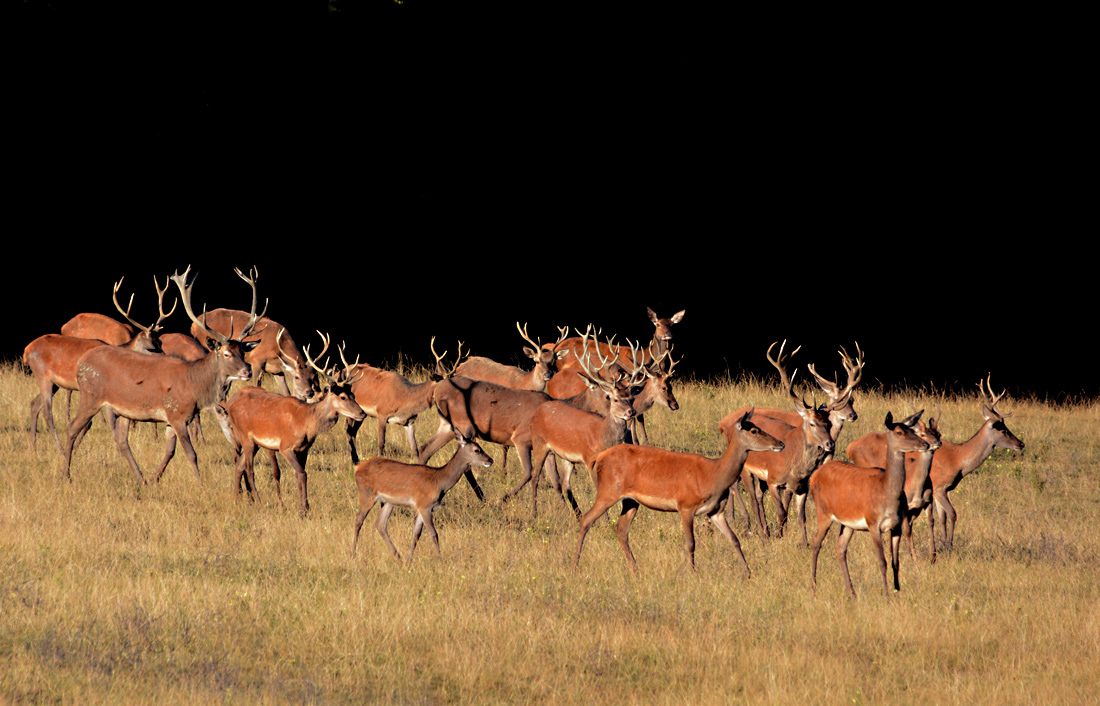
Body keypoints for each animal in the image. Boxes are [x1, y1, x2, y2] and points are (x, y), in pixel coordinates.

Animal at [63, 265, 259, 483]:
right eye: (226, 353)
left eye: (243, 351)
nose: (247, 370)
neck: (194, 386)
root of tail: (81, 362)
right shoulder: (176, 413)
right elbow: (191, 453)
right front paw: (201, 483)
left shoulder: (171, 420)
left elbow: (170, 451)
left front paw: (155, 478)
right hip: (90, 396)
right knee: (72, 428)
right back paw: (66, 475)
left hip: (122, 409)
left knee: (122, 441)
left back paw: (140, 478)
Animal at [213, 332, 365, 514]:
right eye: (342, 397)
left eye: (353, 395)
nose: (362, 413)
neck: (306, 422)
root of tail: (231, 402)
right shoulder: (285, 446)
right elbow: (301, 473)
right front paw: (304, 510)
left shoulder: (304, 448)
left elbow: (299, 474)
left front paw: (304, 507)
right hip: (244, 435)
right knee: (249, 469)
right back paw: (258, 502)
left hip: (255, 442)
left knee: (239, 465)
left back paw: (236, 500)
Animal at [352, 428, 495, 560]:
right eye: (477, 450)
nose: (491, 460)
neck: (440, 482)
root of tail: (357, 469)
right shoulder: (424, 505)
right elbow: (434, 533)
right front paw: (439, 559)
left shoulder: (424, 508)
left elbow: (416, 534)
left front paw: (409, 558)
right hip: (367, 495)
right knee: (359, 520)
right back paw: (353, 553)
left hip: (388, 502)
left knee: (380, 524)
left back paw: (397, 555)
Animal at [572, 409, 787, 576]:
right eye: (754, 430)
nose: (780, 443)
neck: (713, 475)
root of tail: (600, 457)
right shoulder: (686, 505)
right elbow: (691, 542)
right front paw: (692, 572)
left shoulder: (715, 511)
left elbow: (734, 539)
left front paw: (748, 572)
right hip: (608, 490)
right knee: (587, 519)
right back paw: (575, 564)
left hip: (630, 501)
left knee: (621, 528)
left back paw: (635, 568)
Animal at [809, 409, 928, 598]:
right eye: (899, 432)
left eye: (912, 430)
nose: (925, 444)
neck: (887, 494)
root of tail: (815, 476)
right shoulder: (873, 523)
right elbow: (882, 561)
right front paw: (886, 595)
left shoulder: (897, 525)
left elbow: (895, 561)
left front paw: (897, 590)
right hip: (823, 512)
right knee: (816, 543)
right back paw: (814, 587)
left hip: (847, 523)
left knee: (840, 547)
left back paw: (851, 592)